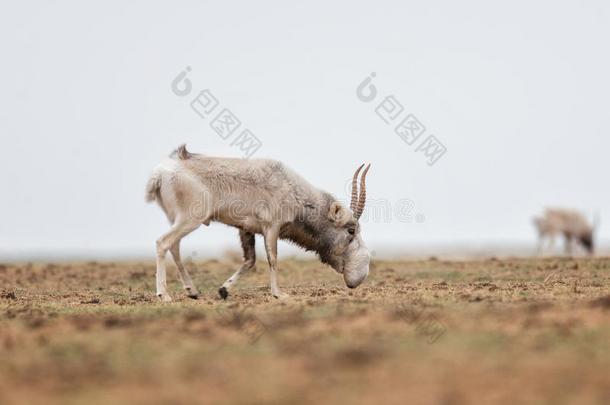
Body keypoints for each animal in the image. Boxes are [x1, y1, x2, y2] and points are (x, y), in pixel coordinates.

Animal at [146, 145, 370, 300]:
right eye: (351, 230)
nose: (359, 277)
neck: (291, 188)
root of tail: (159, 174)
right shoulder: (271, 227)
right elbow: (273, 258)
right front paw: (278, 294)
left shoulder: (246, 229)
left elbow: (250, 260)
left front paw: (224, 289)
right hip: (190, 219)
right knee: (163, 243)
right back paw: (163, 295)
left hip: (179, 220)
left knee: (174, 246)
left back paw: (192, 291)